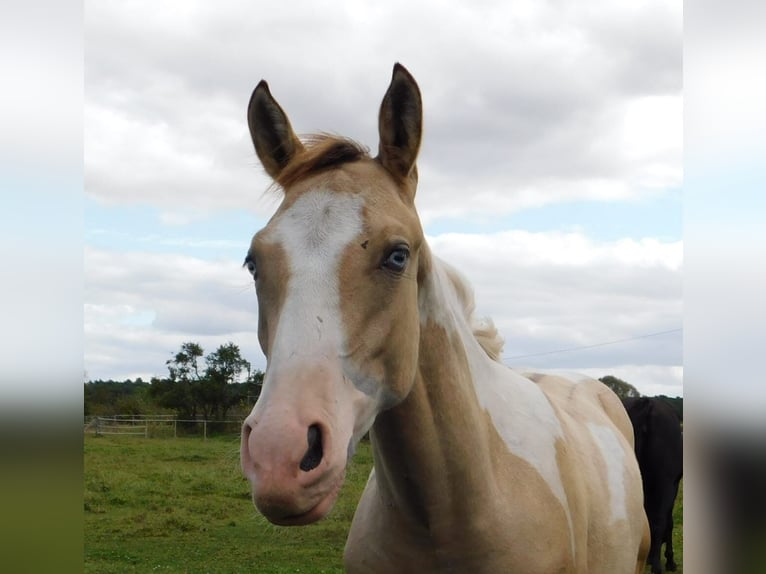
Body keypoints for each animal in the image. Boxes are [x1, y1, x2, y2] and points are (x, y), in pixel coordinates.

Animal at [628, 400, 688, 574]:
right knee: (658, 521)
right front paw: (670, 561)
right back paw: (657, 566)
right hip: (665, 485)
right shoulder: (672, 486)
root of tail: (647, 404)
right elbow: (669, 522)